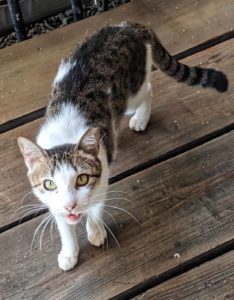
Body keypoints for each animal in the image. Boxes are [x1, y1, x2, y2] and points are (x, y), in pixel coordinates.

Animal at [17, 21, 229, 270]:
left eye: (82, 179)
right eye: (49, 184)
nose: (70, 206)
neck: (64, 135)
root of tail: (128, 26)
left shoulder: (102, 179)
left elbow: (95, 209)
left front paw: (95, 231)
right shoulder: (54, 203)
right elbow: (64, 226)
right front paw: (69, 253)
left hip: (133, 90)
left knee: (148, 89)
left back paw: (140, 118)